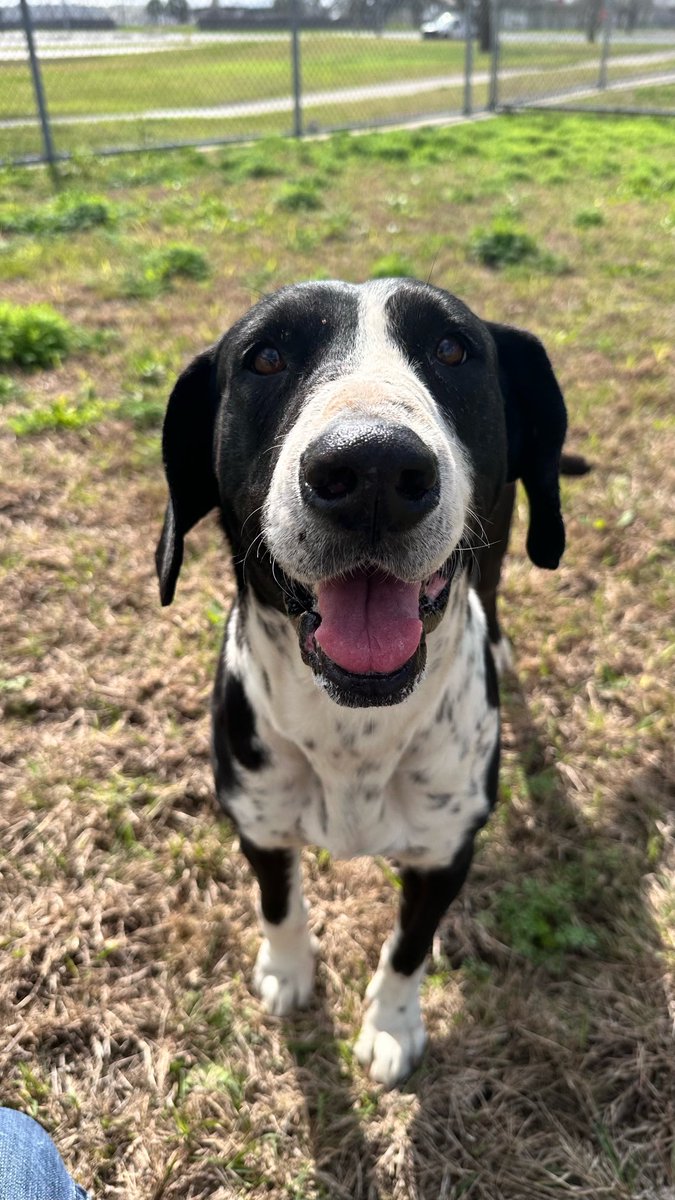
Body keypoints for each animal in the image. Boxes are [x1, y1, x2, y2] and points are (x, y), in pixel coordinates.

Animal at [154, 278, 564, 1089]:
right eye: (265, 356)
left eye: (452, 349)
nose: (372, 467)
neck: (355, 733)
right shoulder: (258, 824)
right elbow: (278, 906)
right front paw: (287, 972)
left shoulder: (445, 855)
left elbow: (408, 948)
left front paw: (391, 1025)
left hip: (504, 533)